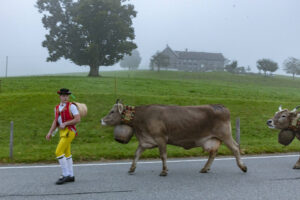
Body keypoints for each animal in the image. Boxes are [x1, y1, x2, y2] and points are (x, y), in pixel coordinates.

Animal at [102, 101, 247, 176]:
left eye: (112, 111)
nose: (101, 120)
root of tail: (220, 106)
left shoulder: (161, 138)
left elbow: (163, 155)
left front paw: (164, 171)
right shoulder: (145, 141)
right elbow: (136, 154)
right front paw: (132, 168)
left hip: (225, 135)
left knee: (235, 148)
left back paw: (243, 167)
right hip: (213, 139)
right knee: (213, 153)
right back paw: (205, 168)